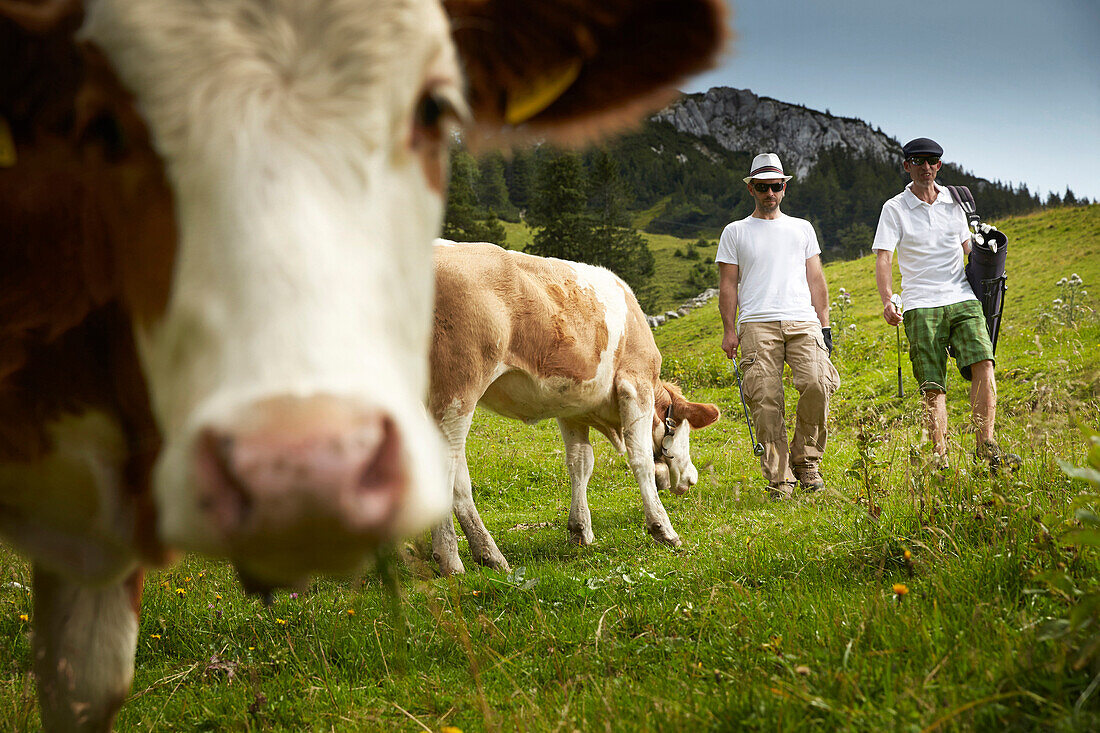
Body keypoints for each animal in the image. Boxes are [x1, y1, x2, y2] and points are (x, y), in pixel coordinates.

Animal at [429, 239, 721, 572]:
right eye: (685, 430)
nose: (692, 478)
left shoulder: (572, 408)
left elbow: (580, 464)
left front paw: (580, 530)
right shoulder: (635, 385)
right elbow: (641, 459)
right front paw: (663, 529)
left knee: (458, 476)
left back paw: (489, 555)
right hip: (458, 390)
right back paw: (451, 559)